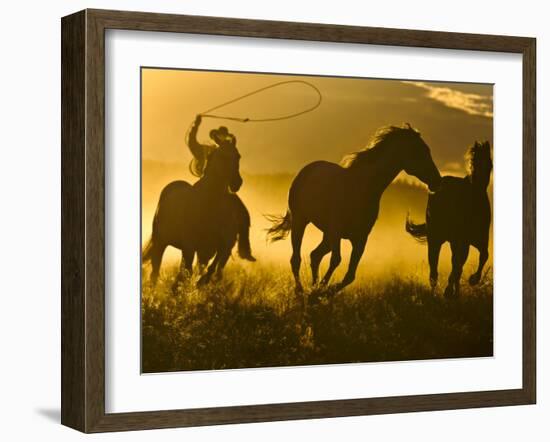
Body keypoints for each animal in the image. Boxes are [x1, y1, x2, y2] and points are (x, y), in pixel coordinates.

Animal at [268, 122, 444, 294]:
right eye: (420, 151)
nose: (437, 180)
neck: (361, 188)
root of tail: (307, 170)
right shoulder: (337, 231)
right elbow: (336, 260)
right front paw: (322, 290)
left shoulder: (360, 238)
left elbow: (350, 275)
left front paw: (324, 291)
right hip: (301, 222)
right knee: (296, 258)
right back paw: (300, 291)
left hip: (326, 234)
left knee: (315, 255)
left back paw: (313, 286)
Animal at [408, 139, 494, 296]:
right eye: (474, 162)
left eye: (489, 163)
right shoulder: (463, 240)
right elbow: (457, 264)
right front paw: (449, 290)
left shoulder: (478, 239)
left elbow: (481, 256)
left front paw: (472, 280)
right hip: (436, 238)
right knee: (434, 269)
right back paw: (435, 293)